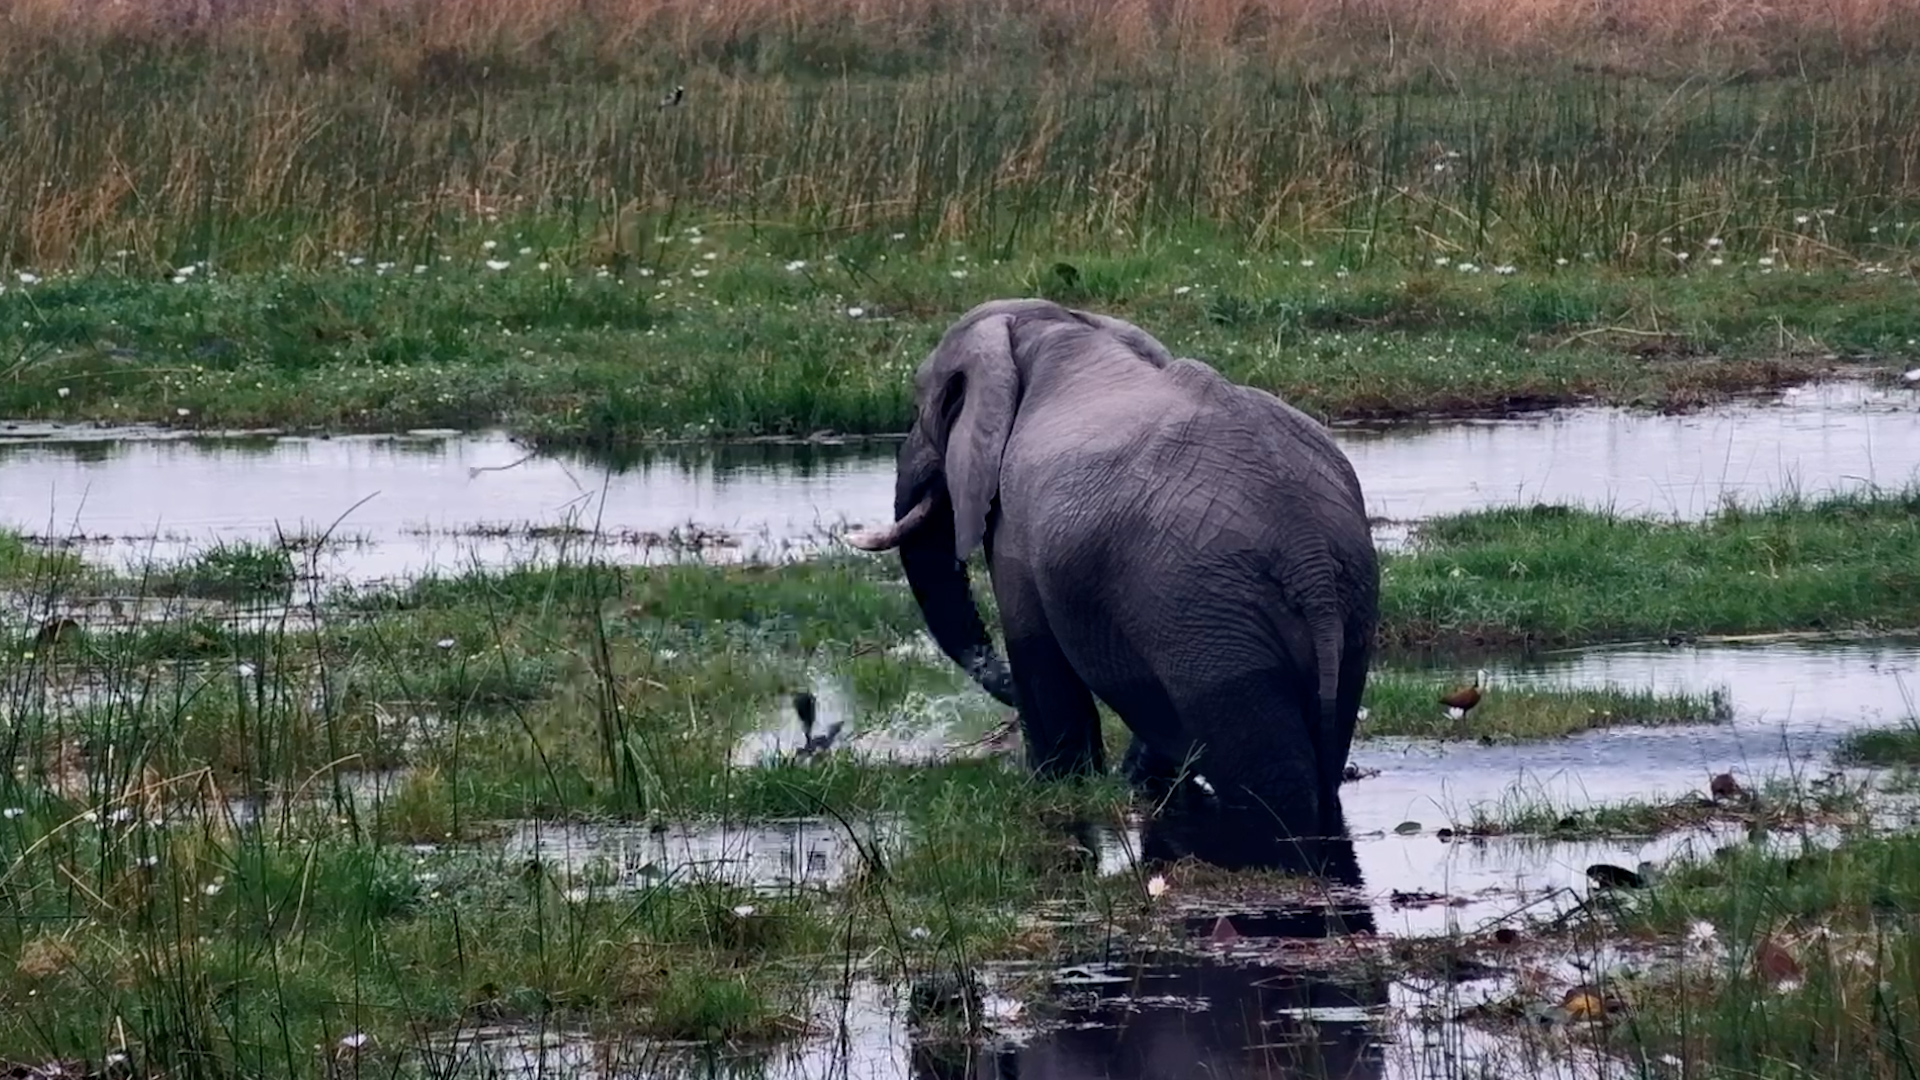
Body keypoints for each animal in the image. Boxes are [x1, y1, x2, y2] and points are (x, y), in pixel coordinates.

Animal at [849, 298, 1379, 845]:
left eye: (924, 406)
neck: (1056, 329)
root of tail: (1309, 557)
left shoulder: (1017, 523)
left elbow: (1036, 652)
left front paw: (1057, 787)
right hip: (1346, 604)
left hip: (1210, 625)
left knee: (1271, 786)